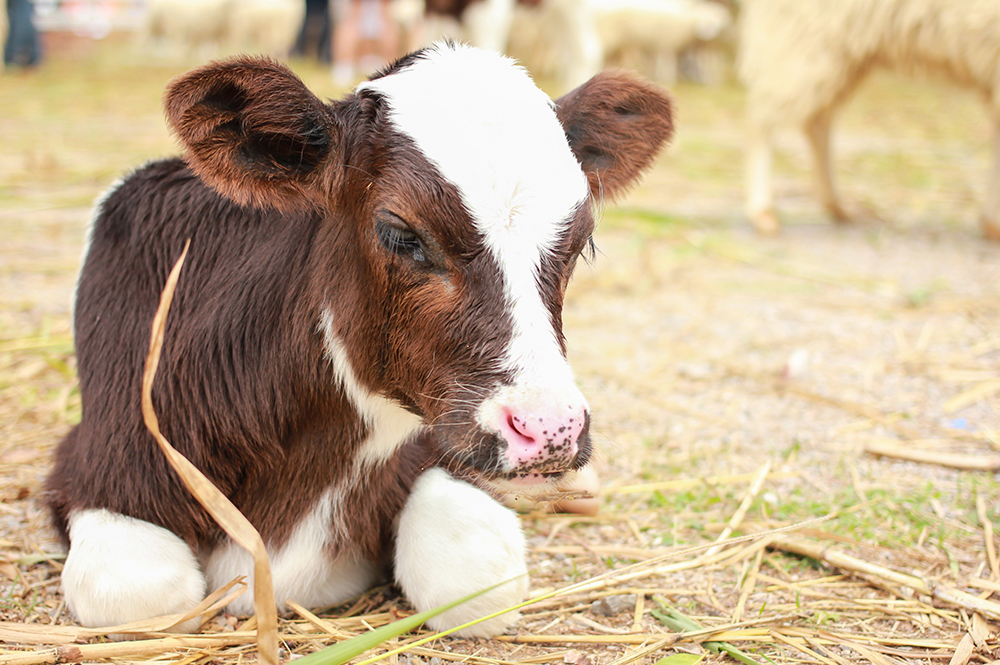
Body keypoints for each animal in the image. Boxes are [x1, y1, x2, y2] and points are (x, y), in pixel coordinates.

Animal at [47, 42, 673, 637]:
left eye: (582, 242)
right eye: (400, 233)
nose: (550, 430)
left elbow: (475, 577)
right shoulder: (99, 460)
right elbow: (141, 595)